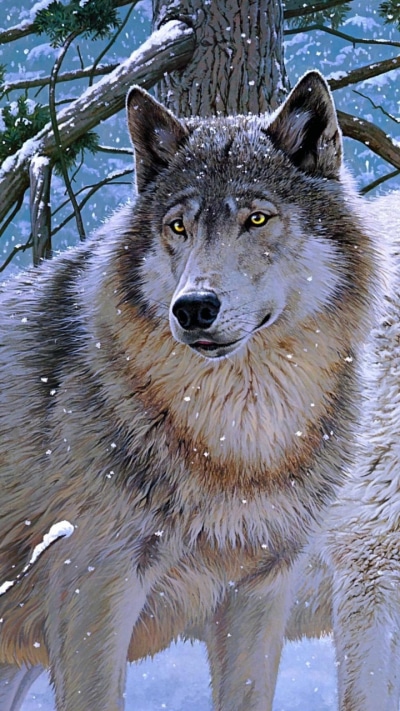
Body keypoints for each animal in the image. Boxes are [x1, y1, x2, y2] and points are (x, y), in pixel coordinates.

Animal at [0, 70, 377, 711]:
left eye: (256, 219)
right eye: (178, 226)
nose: (194, 307)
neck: (239, 439)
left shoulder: (261, 588)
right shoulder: (93, 591)